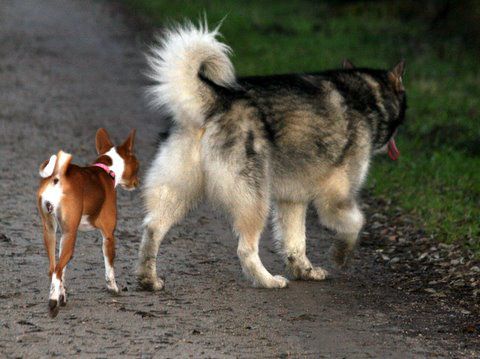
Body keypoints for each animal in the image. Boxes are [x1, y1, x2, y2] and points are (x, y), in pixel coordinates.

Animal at [37, 128, 139, 316]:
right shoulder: (108, 235)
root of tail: (57, 177)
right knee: (56, 270)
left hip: (51, 232)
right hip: (71, 235)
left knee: (54, 268)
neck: (107, 170)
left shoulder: (63, 235)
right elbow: (109, 267)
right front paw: (113, 288)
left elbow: (63, 272)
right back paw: (53, 301)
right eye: (138, 165)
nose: (138, 182)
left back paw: (56, 296)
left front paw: (63, 294)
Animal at [137, 22, 406, 292]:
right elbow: (356, 223)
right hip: (255, 200)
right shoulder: (335, 198)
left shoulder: (293, 200)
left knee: (152, 228)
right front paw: (341, 254)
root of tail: (218, 99)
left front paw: (305, 271)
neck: (369, 96)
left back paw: (148, 279)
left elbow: (296, 244)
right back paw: (267, 281)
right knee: (245, 249)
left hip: (178, 192)